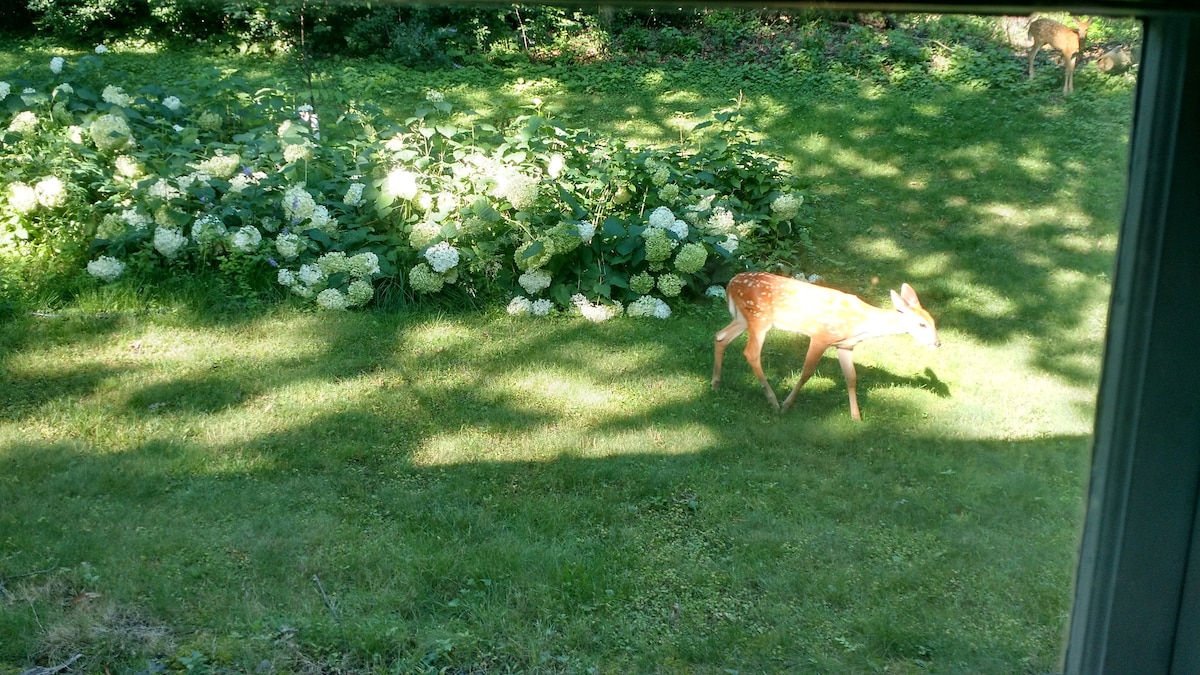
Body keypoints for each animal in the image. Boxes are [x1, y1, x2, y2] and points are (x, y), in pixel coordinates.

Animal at [705, 270, 940, 417]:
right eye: (921, 324)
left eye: (933, 321)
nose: (937, 343)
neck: (861, 323)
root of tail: (730, 284)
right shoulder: (820, 336)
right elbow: (807, 372)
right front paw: (787, 405)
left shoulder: (845, 345)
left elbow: (851, 378)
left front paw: (856, 416)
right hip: (759, 318)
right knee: (751, 352)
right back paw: (773, 401)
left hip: (743, 318)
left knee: (720, 336)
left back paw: (715, 384)